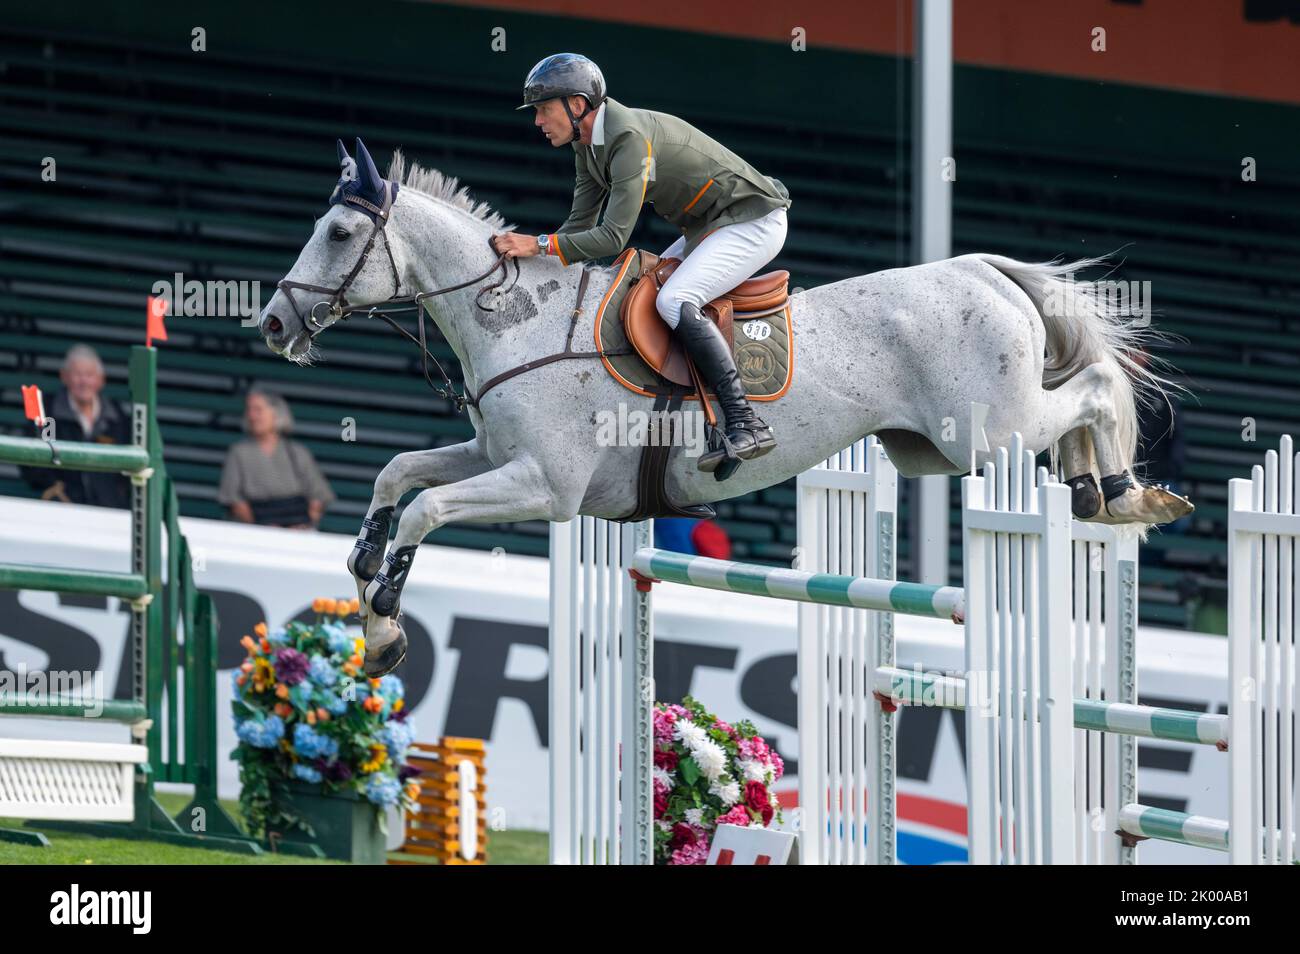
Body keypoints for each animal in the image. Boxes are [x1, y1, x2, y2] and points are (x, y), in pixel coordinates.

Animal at [256, 140, 1196, 681]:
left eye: (339, 235)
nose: (272, 323)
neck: (518, 318)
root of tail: (981, 268)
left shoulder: (547, 489)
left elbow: (425, 509)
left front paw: (384, 626)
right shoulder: (497, 456)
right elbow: (398, 474)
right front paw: (365, 582)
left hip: (985, 433)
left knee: (1092, 391)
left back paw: (1125, 492)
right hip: (929, 448)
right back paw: (1103, 494)